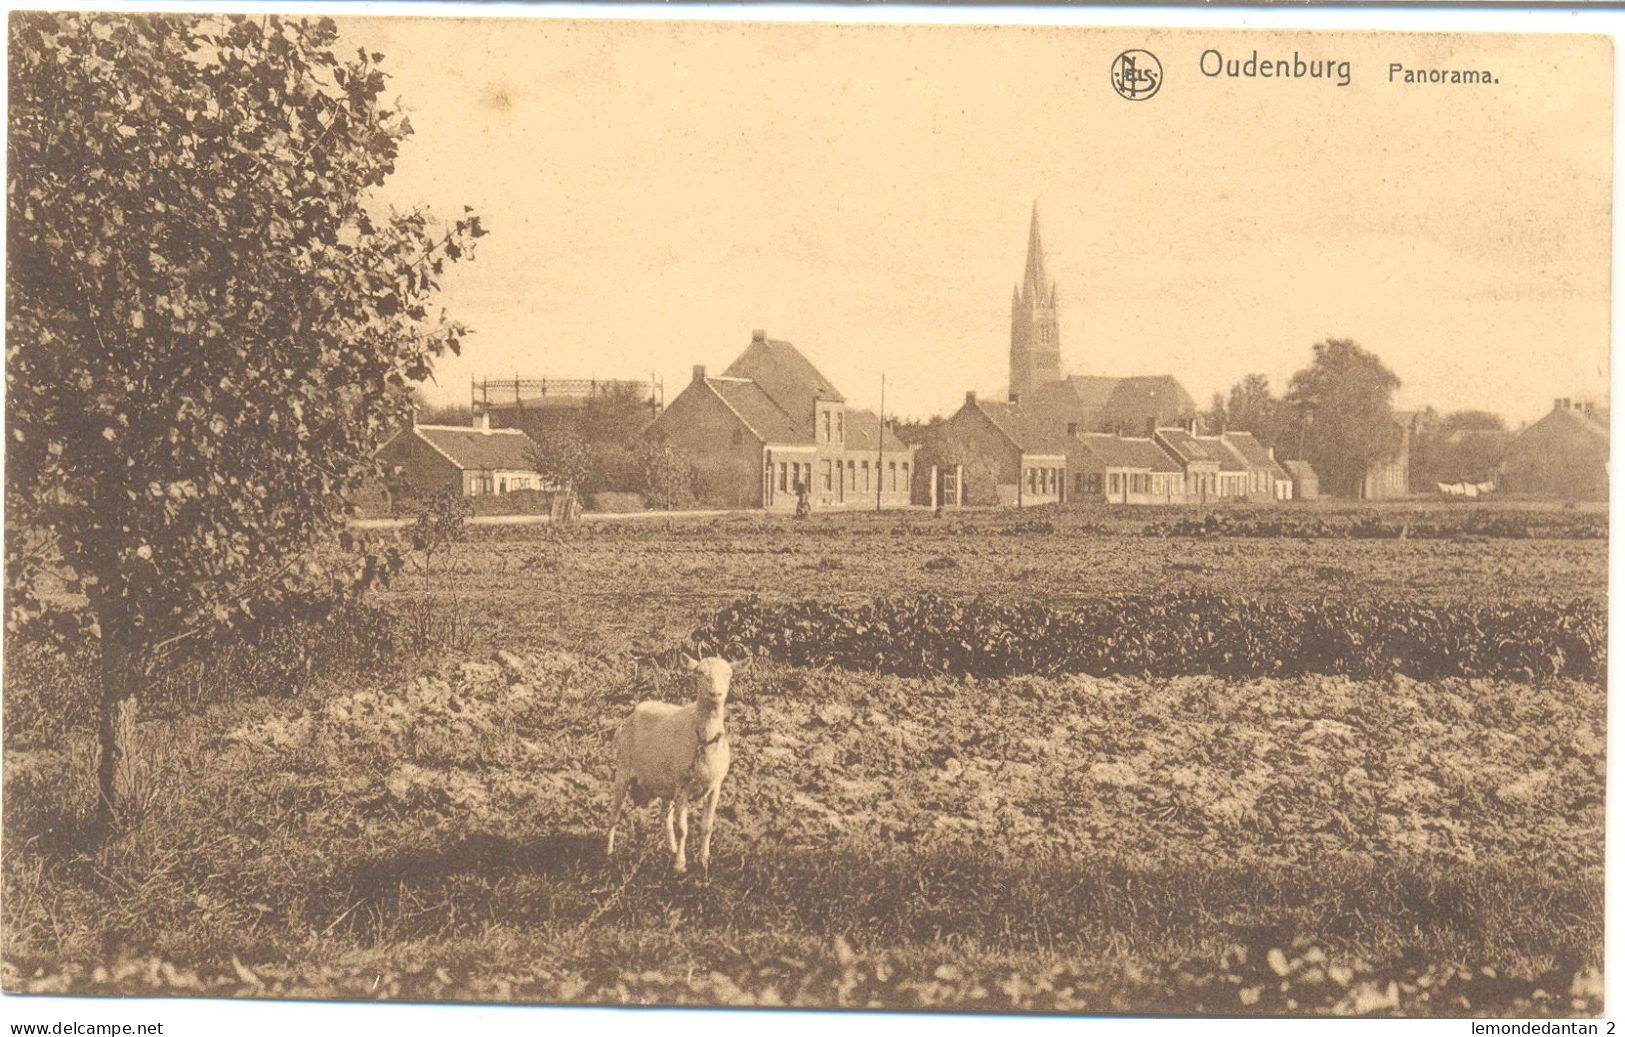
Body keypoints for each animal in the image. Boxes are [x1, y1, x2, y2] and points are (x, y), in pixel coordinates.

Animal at [607, 653, 734, 871]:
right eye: (699, 672)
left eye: (728, 674)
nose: (715, 693)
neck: (703, 740)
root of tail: (630, 717)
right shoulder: (683, 786)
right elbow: (682, 828)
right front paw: (680, 865)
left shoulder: (715, 787)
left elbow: (707, 826)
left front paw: (703, 861)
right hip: (623, 771)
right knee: (614, 813)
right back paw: (608, 852)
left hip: (665, 785)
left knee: (664, 816)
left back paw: (672, 848)